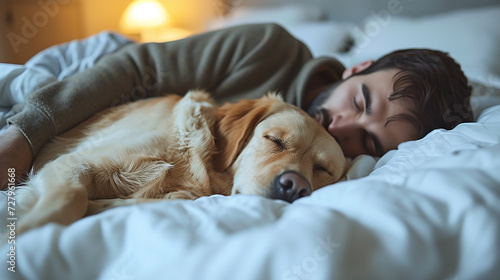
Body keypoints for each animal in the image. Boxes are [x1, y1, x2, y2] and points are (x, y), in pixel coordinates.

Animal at [11, 90, 348, 236]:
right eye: (275, 140)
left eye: (323, 170)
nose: (294, 186)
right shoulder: (71, 163)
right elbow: (70, 198)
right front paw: (23, 230)